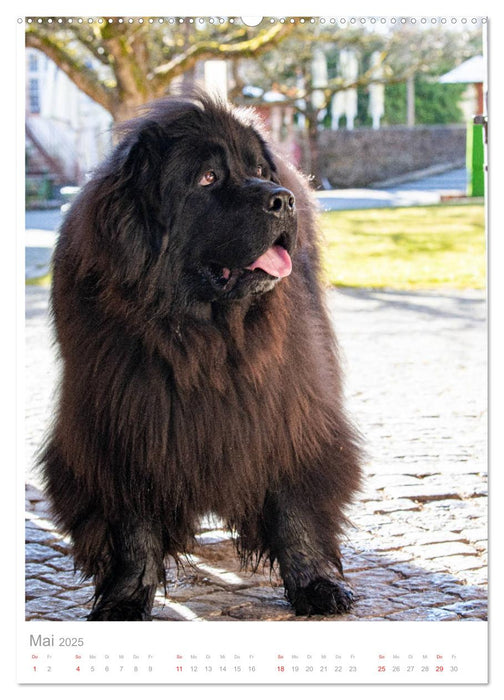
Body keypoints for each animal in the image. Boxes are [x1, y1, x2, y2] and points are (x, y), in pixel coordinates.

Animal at [40, 91, 362, 616]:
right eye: (207, 178)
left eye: (259, 170)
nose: (282, 198)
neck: (205, 338)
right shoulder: (126, 428)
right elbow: (133, 529)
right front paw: (126, 599)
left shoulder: (285, 411)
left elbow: (293, 504)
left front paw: (316, 585)